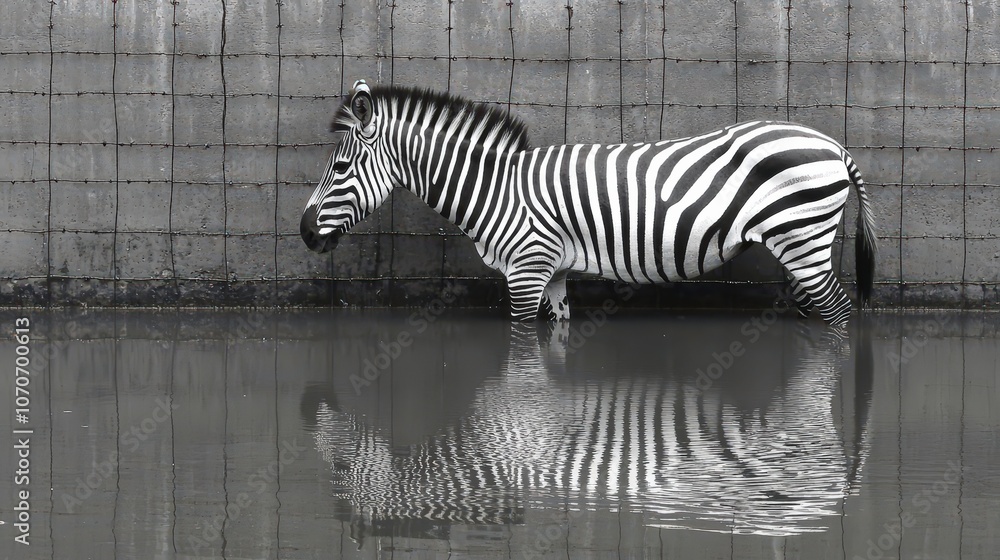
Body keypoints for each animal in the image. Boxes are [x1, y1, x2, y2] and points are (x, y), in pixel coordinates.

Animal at [301, 80, 877, 325]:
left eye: (340, 169)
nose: (305, 232)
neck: (496, 189)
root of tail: (836, 146)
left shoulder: (526, 269)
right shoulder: (553, 273)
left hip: (803, 242)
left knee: (841, 316)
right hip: (801, 247)